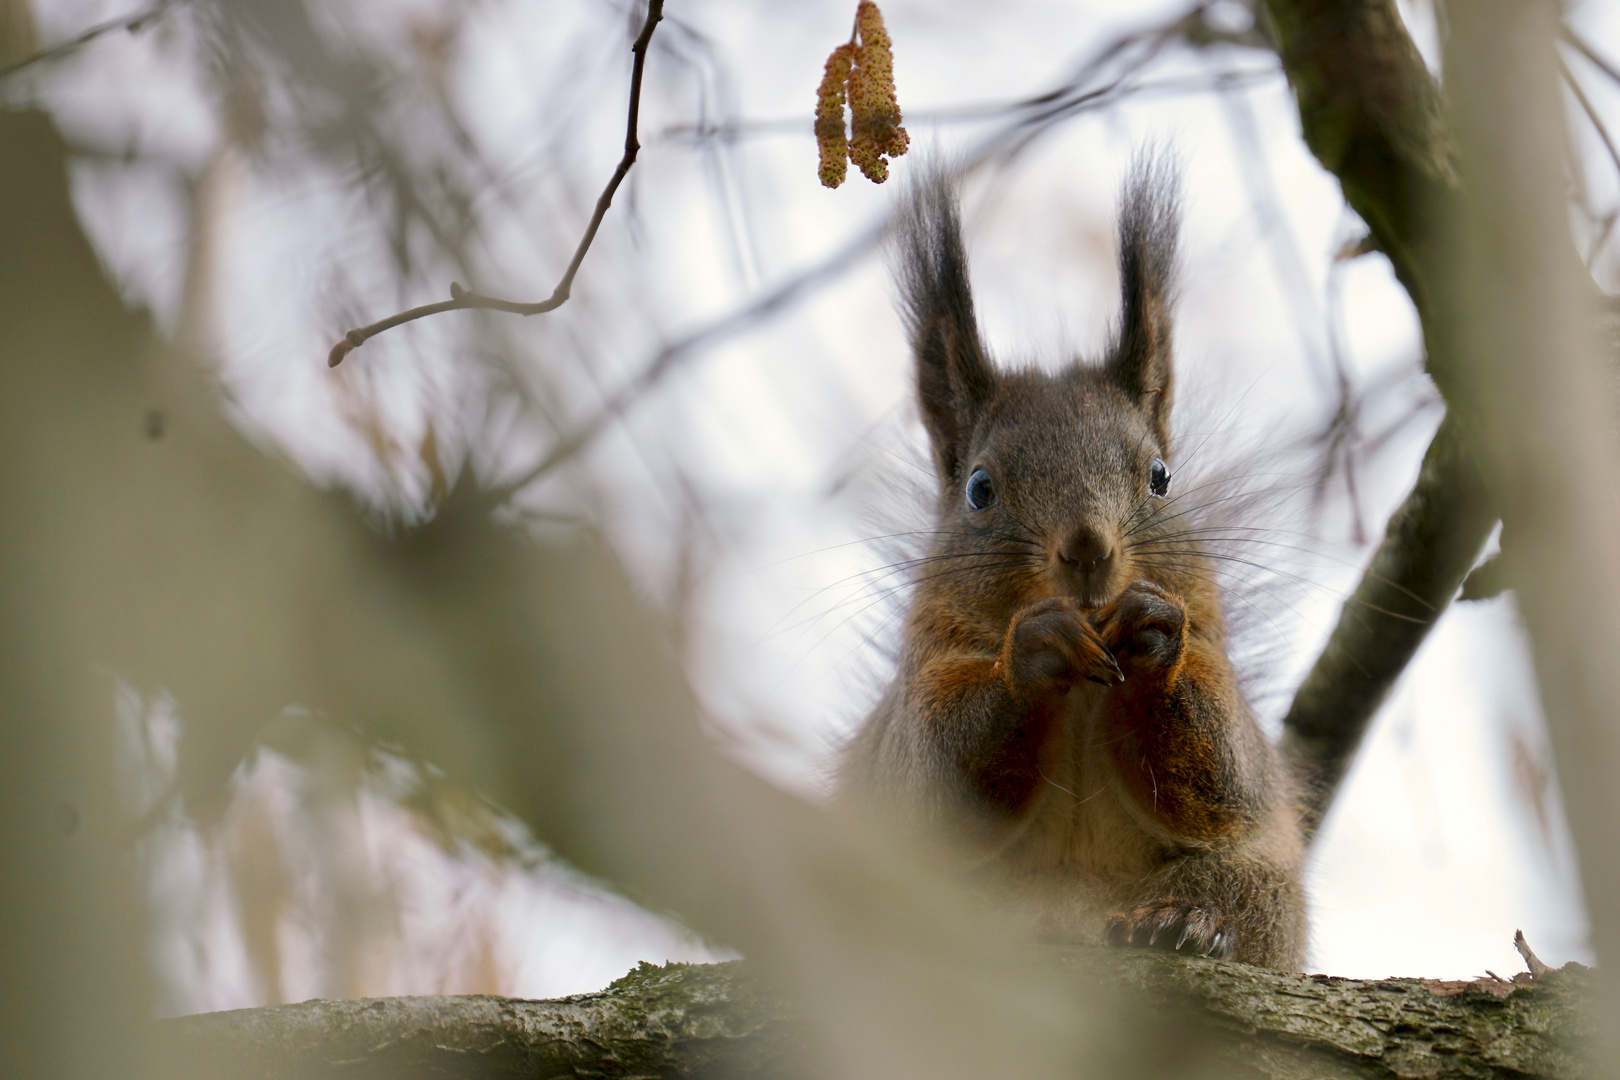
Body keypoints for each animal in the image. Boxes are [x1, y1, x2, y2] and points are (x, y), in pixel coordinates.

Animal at [842, 158, 1308, 971]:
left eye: (1160, 477)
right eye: (980, 489)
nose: (1089, 550)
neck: (1089, 690)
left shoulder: (1217, 667)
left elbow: (1230, 771)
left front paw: (1154, 633)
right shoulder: (923, 678)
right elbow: (933, 777)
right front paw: (1033, 647)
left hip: (1261, 882)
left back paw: (1184, 921)